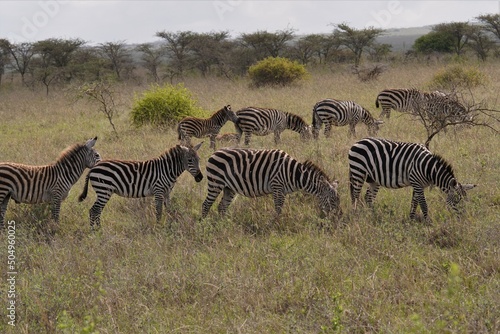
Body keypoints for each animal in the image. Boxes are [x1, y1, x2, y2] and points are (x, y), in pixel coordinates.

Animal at [201, 149, 342, 219]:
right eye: (333, 200)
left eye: (338, 200)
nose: (339, 217)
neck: (294, 174)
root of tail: (214, 153)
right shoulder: (277, 187)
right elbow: (278, 209)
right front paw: (274, 224)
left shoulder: (282, 191)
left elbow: (279, 209)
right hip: (216, 183)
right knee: (206, 205)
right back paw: (204, 224)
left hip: (229, 188)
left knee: (222, 207)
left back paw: (223, 224)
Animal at [348, 137, 476, 223]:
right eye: (457, 201)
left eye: (466, 201)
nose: (463, 220)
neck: (428, 168)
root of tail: (358, 141)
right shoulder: (417, 183)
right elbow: (423, 204)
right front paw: (428, 222)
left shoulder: (417, 184)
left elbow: (414, 203)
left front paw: (411, 220)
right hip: (358, 171)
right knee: (355, 195)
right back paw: (355, 215)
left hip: (373, 179)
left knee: (368, 197)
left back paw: (372, 215)